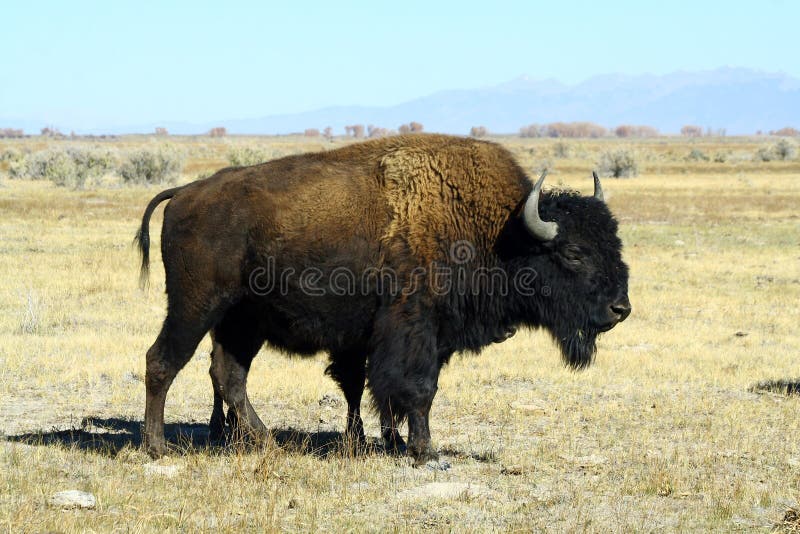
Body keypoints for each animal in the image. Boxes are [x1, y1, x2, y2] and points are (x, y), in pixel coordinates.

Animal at [141, 135, 636, 464]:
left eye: (615, 243)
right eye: (574, 253)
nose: (621, 308)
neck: (500, 232)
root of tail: (185, 193)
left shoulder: (428, 338)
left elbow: (393, 392)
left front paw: (398, 443)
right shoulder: (411, 330)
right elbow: (416, 389)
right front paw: (425, 451)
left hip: (243, 321)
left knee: (230, 376)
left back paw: (268, 444)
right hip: (195, 307)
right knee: (162, 361)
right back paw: (158, 447)